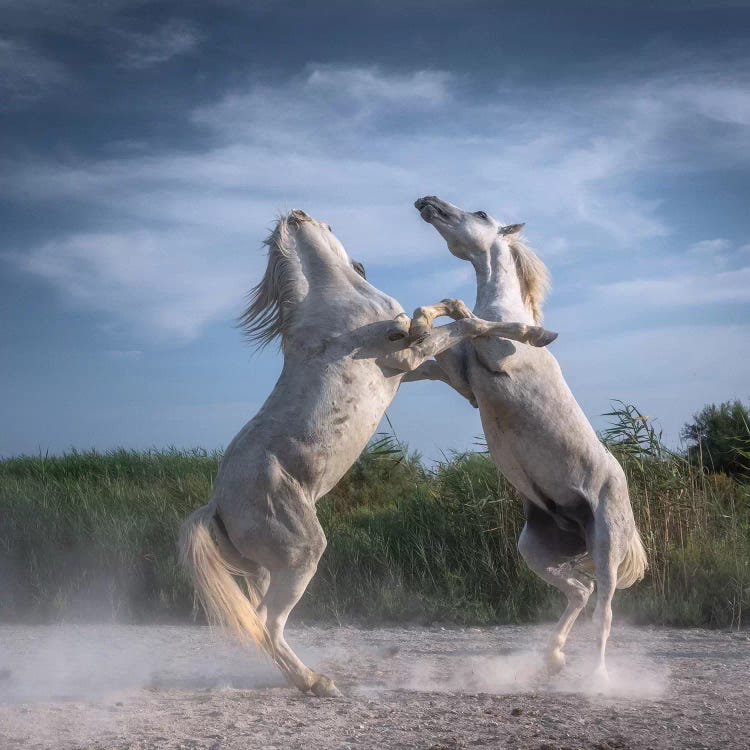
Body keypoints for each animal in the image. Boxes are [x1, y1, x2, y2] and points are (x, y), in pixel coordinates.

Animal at [182, 207, 560, 700]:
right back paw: (319, 683)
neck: (333, 306)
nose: (362, 263)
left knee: (261, 621)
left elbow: (456, 330)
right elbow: (464, 325)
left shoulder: (410, 364)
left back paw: (305, 678)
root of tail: (215, 506)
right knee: (265, 625)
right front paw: (535, 332)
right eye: (330, 226)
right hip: (302, 552)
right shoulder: (404, 358)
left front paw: (528, 336)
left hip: (266, 570)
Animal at [408, 197, 648, 684]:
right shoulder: (459, 379)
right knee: (578, 591)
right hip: (535, 549)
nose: (428, 202)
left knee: (604, 610)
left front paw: (539, 334)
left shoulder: (493, 354)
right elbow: (439, 337)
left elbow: (474, 321)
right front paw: (415, 325)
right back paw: (552, 656)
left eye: (481, 214)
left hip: (606, 547)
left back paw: (597, 679)